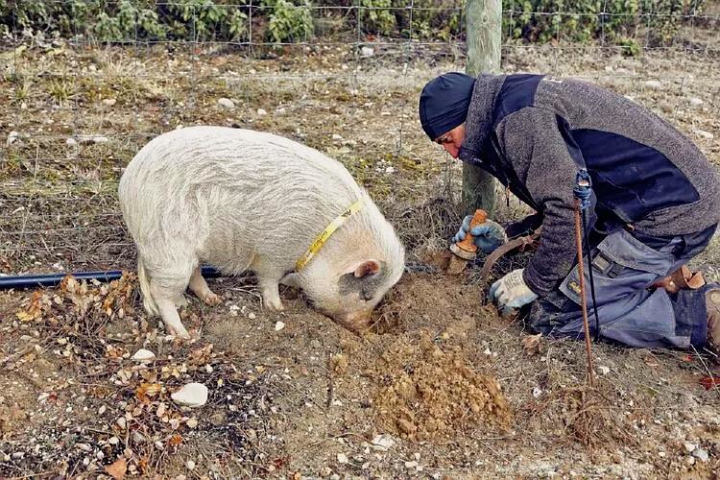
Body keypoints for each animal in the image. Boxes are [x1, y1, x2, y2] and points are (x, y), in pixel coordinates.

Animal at [121, 125, 408, 340]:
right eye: (366, 295)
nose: (364, 328)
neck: (326, 239)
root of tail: (128, 188)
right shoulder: (275, 249)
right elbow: (269, 279)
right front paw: (278, 308)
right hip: (169, 247)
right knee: (161, 292)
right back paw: (182, 333)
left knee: (192, 275)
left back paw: (212, 300)